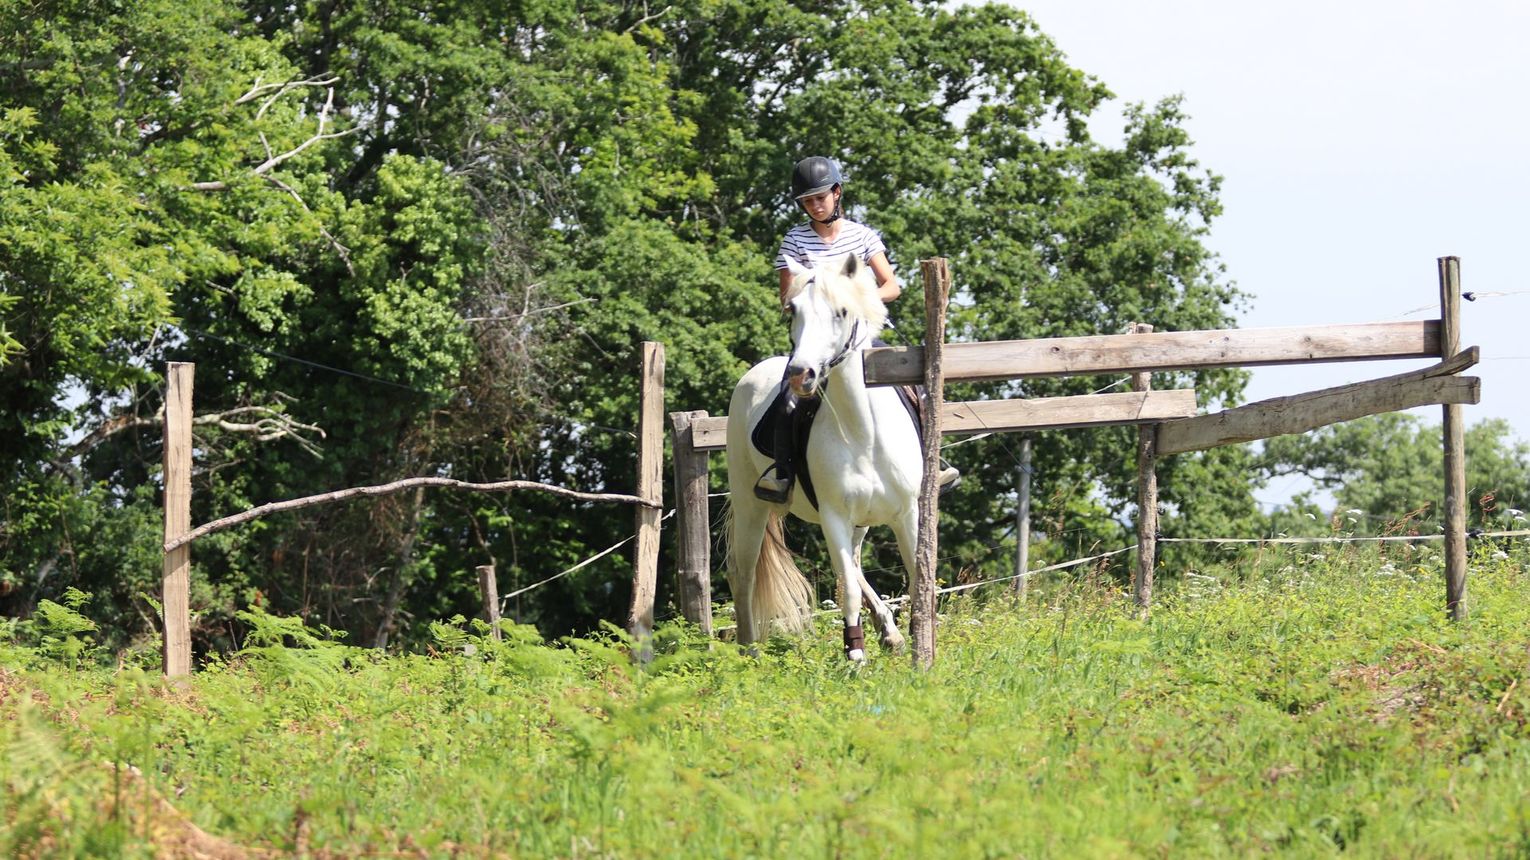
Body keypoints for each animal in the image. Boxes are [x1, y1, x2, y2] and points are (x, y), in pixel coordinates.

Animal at [725, 250, 924, 658]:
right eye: (793, 310)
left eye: (841, 312)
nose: (801, 374)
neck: (863, 431)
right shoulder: (834, 517)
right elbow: (847, 589)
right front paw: (855, 656)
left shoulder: (907, 513)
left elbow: (915, 578)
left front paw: (921, 648)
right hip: (750, 503)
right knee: (744, 572)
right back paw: (749, 652)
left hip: (860, 521)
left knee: (857, 564)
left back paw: (891, 632)